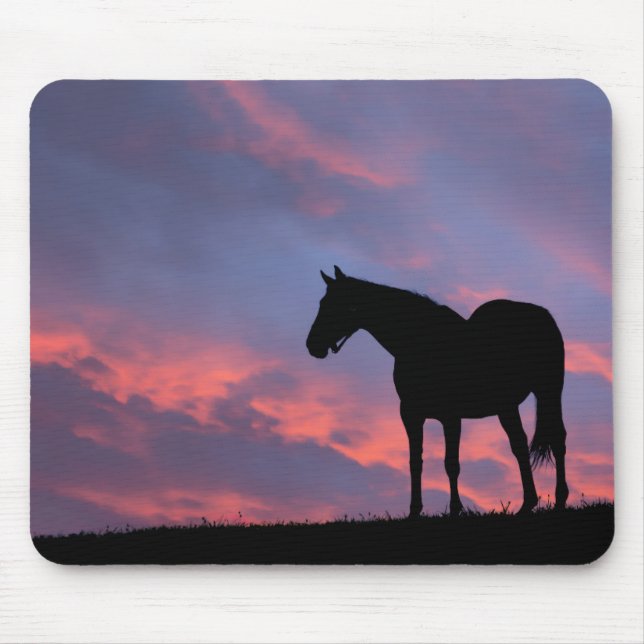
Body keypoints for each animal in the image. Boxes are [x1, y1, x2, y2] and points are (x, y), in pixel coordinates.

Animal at [306, 265, 569, 519]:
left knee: (557, 439)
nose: (312, 345)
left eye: (338, 305)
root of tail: (542, 314)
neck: (421, 343)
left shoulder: (450, 416)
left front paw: (454, 509)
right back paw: (527, 504)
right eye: (322, 302)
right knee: (519, 445)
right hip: (507, 406)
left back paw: (559, 501)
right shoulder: (410, 414)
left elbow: (451, 463)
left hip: (549, 392)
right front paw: (414, 511)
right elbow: (415, 461)